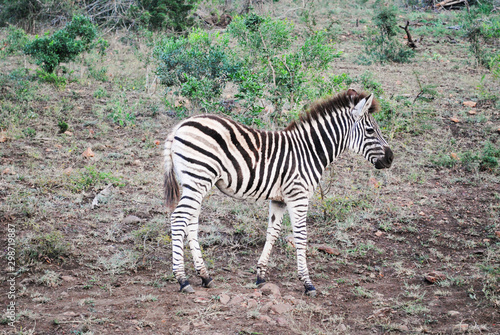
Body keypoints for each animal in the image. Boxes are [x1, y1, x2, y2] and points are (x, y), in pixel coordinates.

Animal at [162, 89, 392, 296]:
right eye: (370, 131)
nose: (391, 158)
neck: (310, 151)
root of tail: (180, 125)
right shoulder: (298, 196)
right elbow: (301, 236)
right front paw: (307, 283)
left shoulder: (279, 200)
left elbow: (272, 233)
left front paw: (260, 277)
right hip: (198, 178)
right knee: (179, 218)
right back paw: (182, 279)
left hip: (195, 183)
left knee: (191, 223)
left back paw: (205, 276)